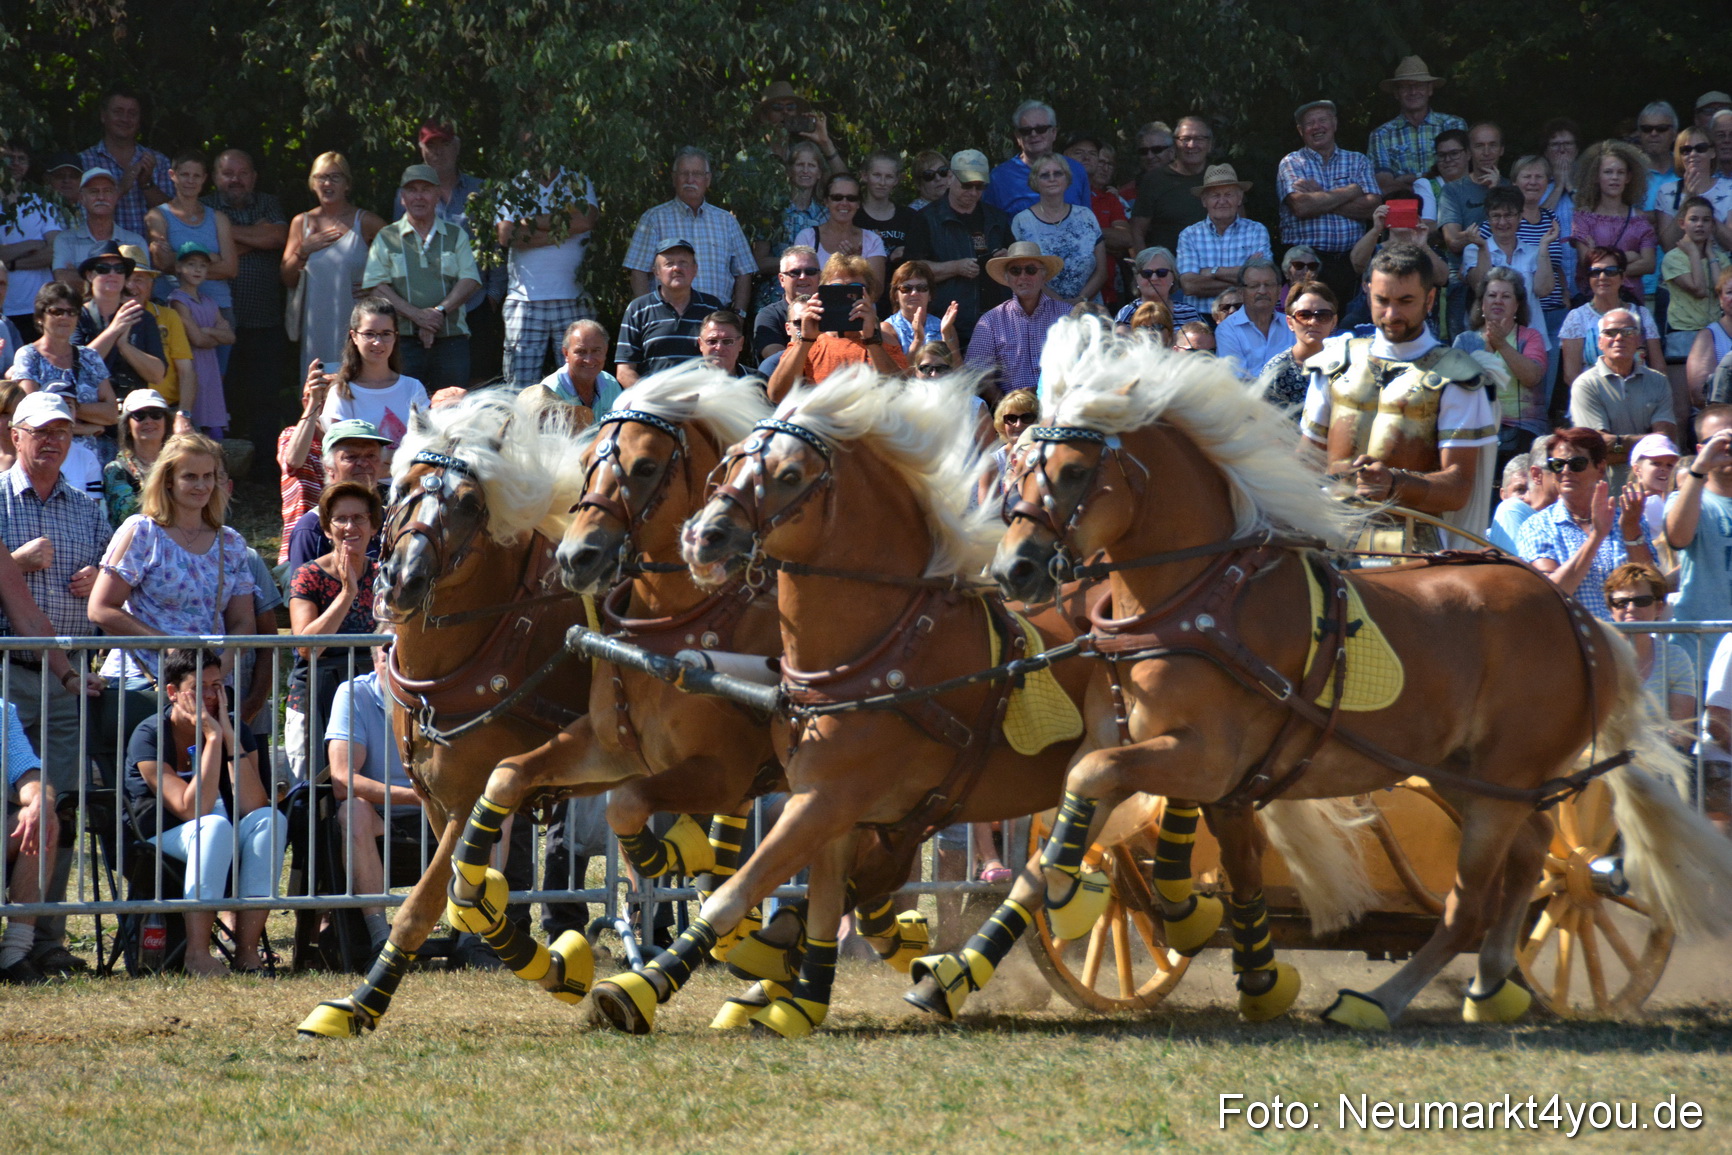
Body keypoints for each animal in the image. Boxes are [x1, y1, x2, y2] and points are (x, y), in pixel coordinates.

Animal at [298, 391, 597, 1039]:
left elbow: (426, 902)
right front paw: (549, 963)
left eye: (468, 504)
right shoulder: (433, 796)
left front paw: (362, 1003)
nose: (402, 580)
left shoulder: (472, 795)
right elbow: (464, 892)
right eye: (404, 488)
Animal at [927, 317, 1732, 1030]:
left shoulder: (1200, 758)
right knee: (1530, 855)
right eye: (1015, 469)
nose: (1013, 569)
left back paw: (1385, 999)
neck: (1191, 602)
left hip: (1503, 774)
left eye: (1071, 472)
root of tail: (1576, 614)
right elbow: (1062, 846)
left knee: (1484, 895)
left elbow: (1088, 789)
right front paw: (955, 972)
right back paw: (1492, 981)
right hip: (1462, 772)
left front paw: (1092, 898)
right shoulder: (1171, 761)